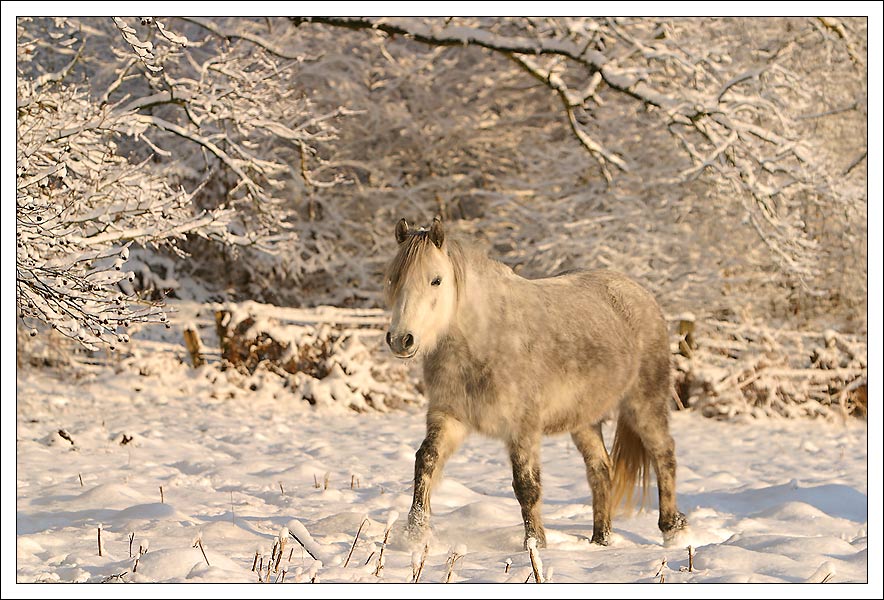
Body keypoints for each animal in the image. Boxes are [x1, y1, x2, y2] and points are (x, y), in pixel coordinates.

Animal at [386, 218, 684, 548]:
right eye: (393, 278)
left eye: (436, 280)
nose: (401, 339)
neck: (485, 339)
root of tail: (640, 294)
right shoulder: (449, 416)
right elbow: (425, 462)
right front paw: (415, 534)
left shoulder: (523, 427)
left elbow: (526, 485)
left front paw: (535, 546)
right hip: (583, 420)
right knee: (601, 469)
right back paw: (601, 540)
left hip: (644, 404)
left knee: (664, 455)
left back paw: (672, 532)